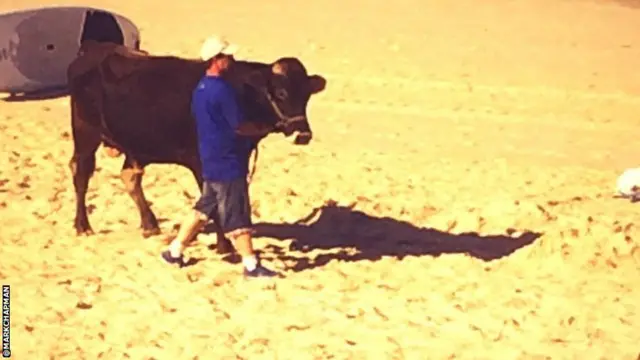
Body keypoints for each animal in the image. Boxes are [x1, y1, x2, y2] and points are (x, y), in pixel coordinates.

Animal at [66, 41, 324, 253]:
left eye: (306, 95)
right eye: (281, 93)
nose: (303, 134)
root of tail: (91, 51)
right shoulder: (202, 163)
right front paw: (224, 246)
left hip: (133, 146)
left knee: (130, 177)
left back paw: (150, 224)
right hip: (86, 134)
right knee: (81, 175)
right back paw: (83, 225)